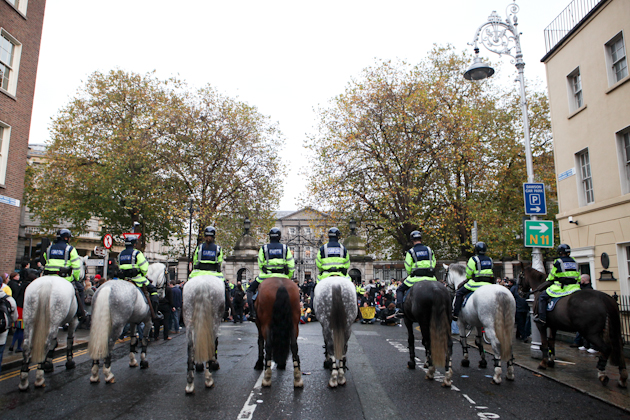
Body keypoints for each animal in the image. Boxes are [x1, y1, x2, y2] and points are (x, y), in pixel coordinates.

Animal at [18, 258, 87, 392]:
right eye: (84, 266)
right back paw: (39, 378)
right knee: (45, 343)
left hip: (30, 318)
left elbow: (54, 342)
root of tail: (46, 284)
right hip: (55, 315)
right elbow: (69, 341)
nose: (83, 278)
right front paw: (69, 362)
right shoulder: (73, 320)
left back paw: (24, 380)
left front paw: (48, 363)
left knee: (27, 345)